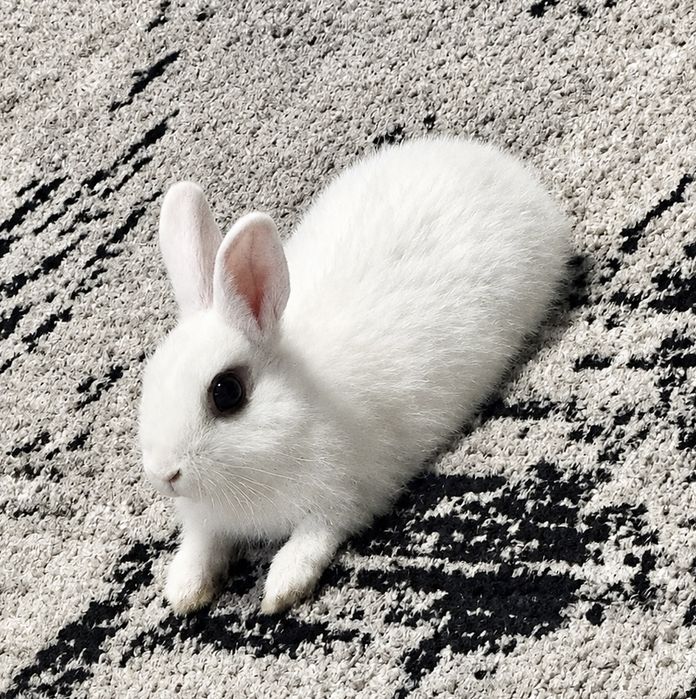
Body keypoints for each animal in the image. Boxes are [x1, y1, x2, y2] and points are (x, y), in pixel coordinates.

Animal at [138, 136, 570, 615]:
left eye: (226, 391)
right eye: (149, 379)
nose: (163, 474)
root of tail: (499, 164)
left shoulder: (343, 498)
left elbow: (311, 541)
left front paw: (280, 590)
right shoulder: (206, 522)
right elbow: (199, 548)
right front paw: (183, 591)